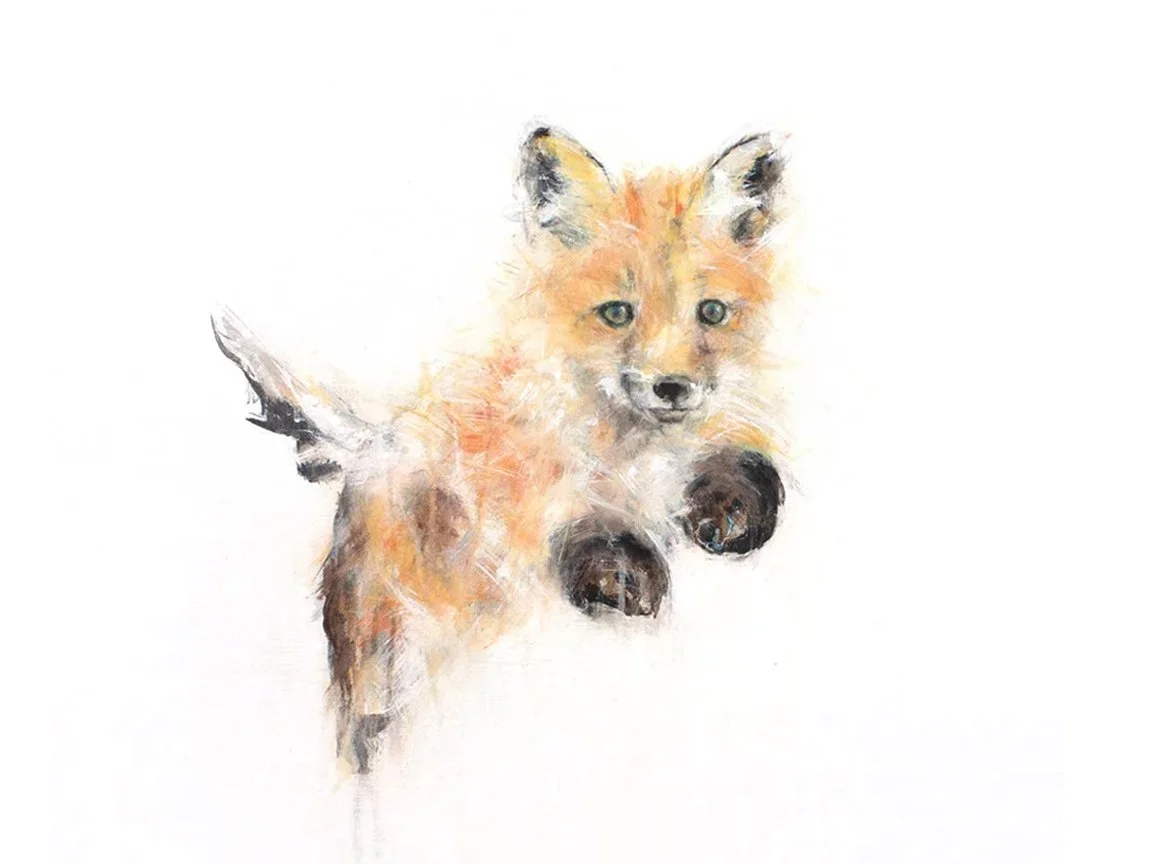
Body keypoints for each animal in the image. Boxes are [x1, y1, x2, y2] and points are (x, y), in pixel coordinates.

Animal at [213, 127, 792, 773]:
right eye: (617, 313)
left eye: (711, 312)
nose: (673, 387)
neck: (637, 453)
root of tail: (378, 444)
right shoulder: (523, 496)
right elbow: (570, 526)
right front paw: (623, 576)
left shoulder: (718, 445)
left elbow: (749, 465)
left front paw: (732, 513)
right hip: (385, 646)